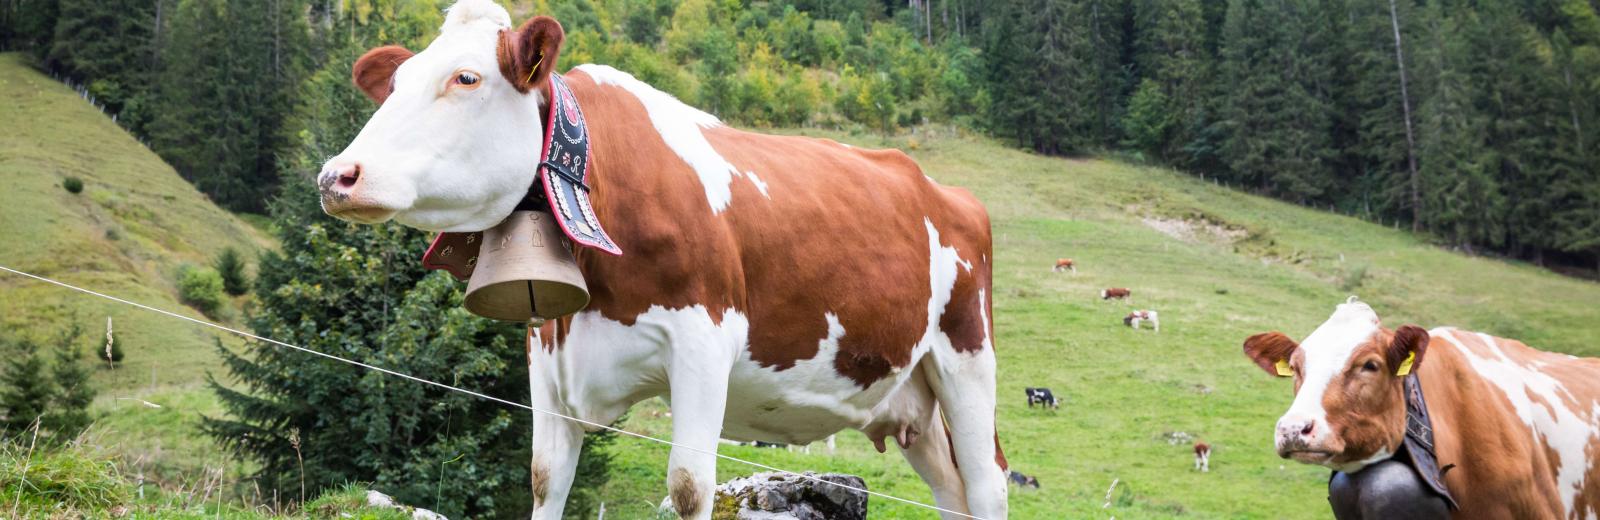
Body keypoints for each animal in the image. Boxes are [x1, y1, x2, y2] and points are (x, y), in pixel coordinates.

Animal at [313, 2, 1006, 519]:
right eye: (395, 84)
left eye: (466, 78)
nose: (337, 176)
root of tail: (944, 189)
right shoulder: (546, 347)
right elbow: (544, 478)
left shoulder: (704, 343)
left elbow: (689, 486)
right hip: (913, 394)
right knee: (952, 489)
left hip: (966, 354)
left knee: (988, 480)